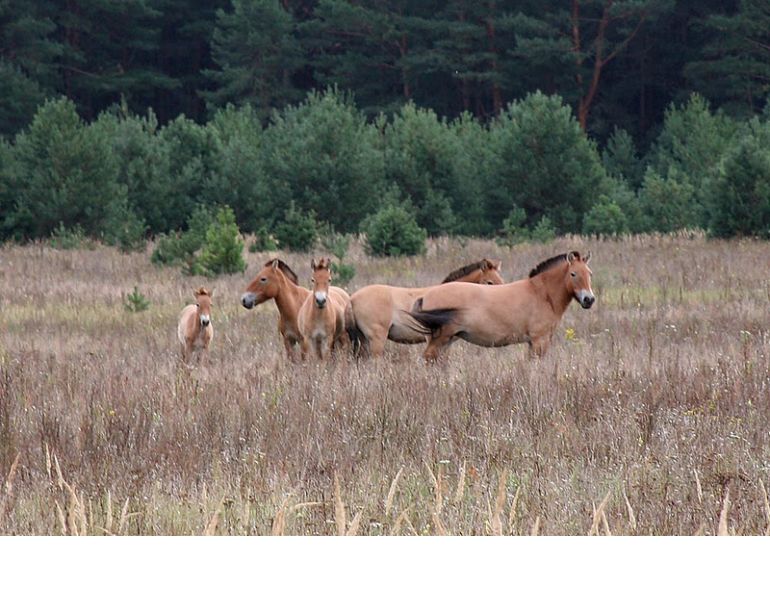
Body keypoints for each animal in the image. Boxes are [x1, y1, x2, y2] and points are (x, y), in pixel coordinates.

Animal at [407, 251, 594, 361]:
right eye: (573, 274)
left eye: (589, 273)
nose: (589, 300)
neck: (542, 294)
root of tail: (427, 295)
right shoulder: (539, 341)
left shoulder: (533, 343)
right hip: (440, 339)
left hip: (447, 340)